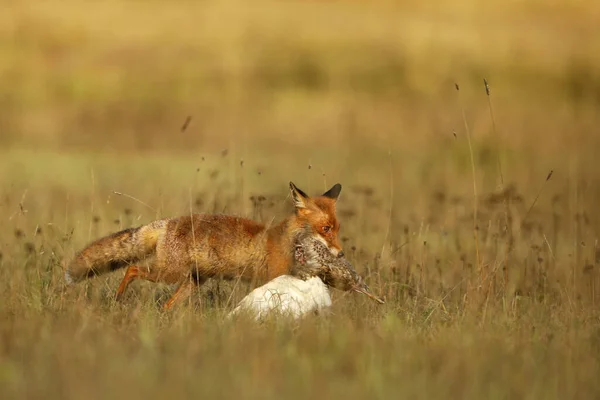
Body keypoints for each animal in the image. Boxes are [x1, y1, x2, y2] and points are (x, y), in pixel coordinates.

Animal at [63, 182, 344, 310]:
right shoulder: (272, 277)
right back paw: (118, 297)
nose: (341, 253)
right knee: (132, 269)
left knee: (166, 304)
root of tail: (167, 222)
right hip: (168, 273)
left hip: (191, 282)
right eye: (325, 229)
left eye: (337, 228)